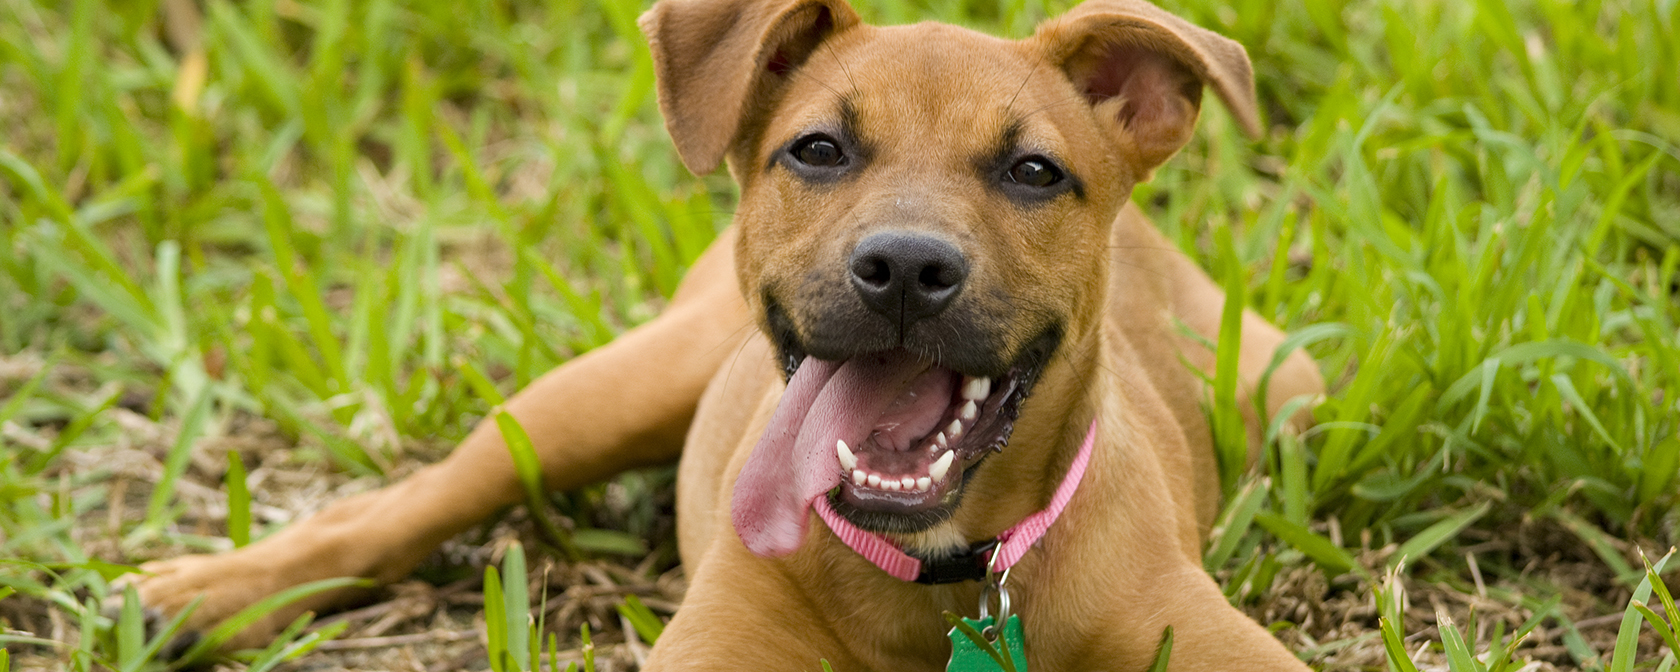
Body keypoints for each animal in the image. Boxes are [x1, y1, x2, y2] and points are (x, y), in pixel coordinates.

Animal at [134, 0, 1323, 665]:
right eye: (819, 151)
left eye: (1034, 171)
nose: (905, 269)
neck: (941, 581)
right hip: (596, 397)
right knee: (407, 503)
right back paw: (214, 593)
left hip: (1290, 389)